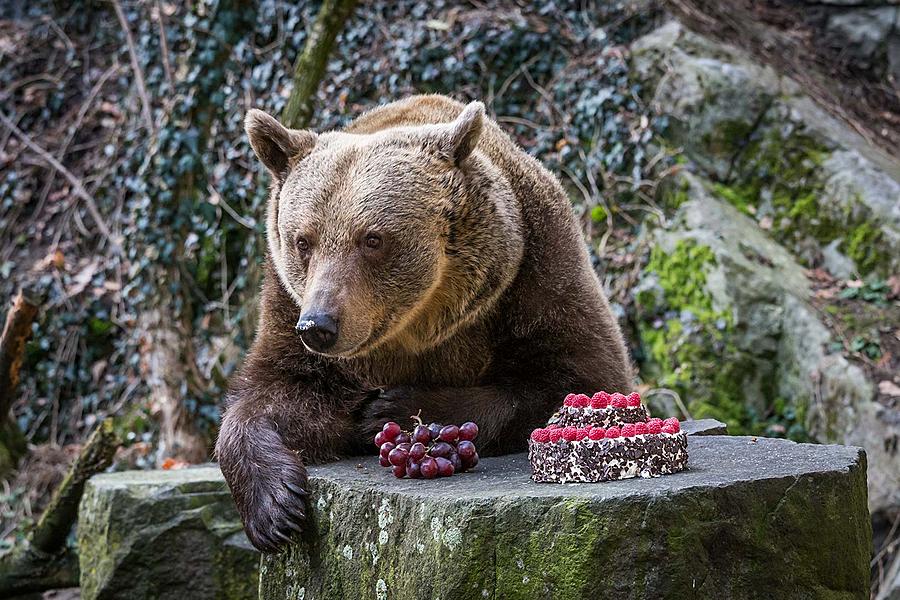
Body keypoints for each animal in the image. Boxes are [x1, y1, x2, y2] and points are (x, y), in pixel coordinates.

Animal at [216, 95, 632, 552]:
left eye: (372, 239)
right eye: (303, 241)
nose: (319, 326)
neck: (420, 323)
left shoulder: (536, 273)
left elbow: (578, 377)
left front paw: (388, 411)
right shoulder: (287, 303)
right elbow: (277, 391)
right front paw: (275, 508)